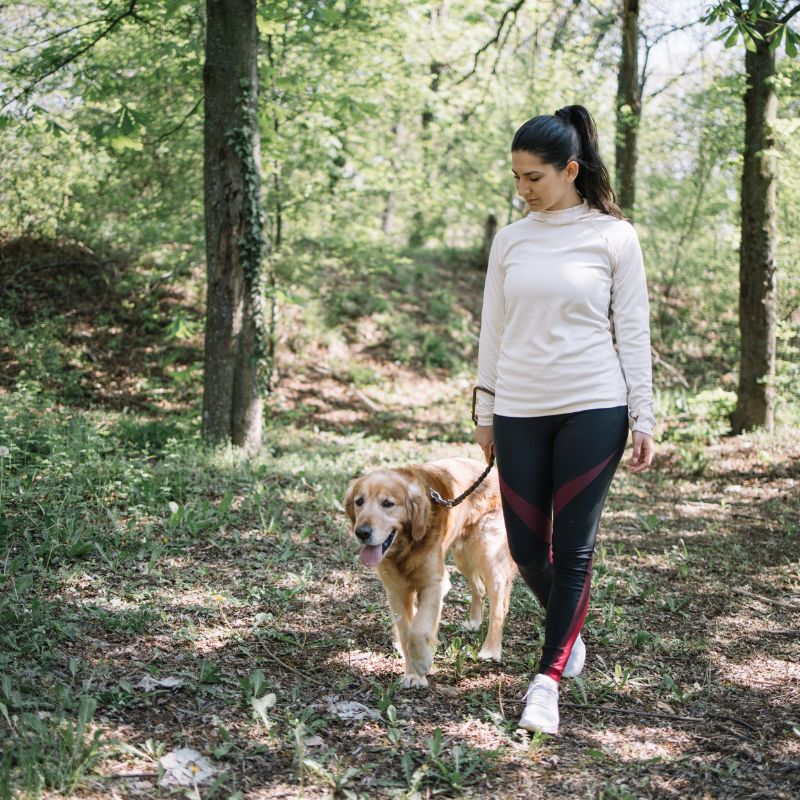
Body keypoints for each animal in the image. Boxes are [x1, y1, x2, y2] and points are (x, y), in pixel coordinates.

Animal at [346, 456, 520, 688]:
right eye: (359, 501)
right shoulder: (396, 592)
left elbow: (418, 629)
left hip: (489, 555)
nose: (362, 533)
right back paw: (474, 622)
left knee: (499, 605)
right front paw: (412, 673)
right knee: (478, 588)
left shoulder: (433, 584)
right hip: (463, 556)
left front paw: (422, 661)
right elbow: (406, 633)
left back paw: (491, 649)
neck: (406, 547)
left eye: (388, 504)